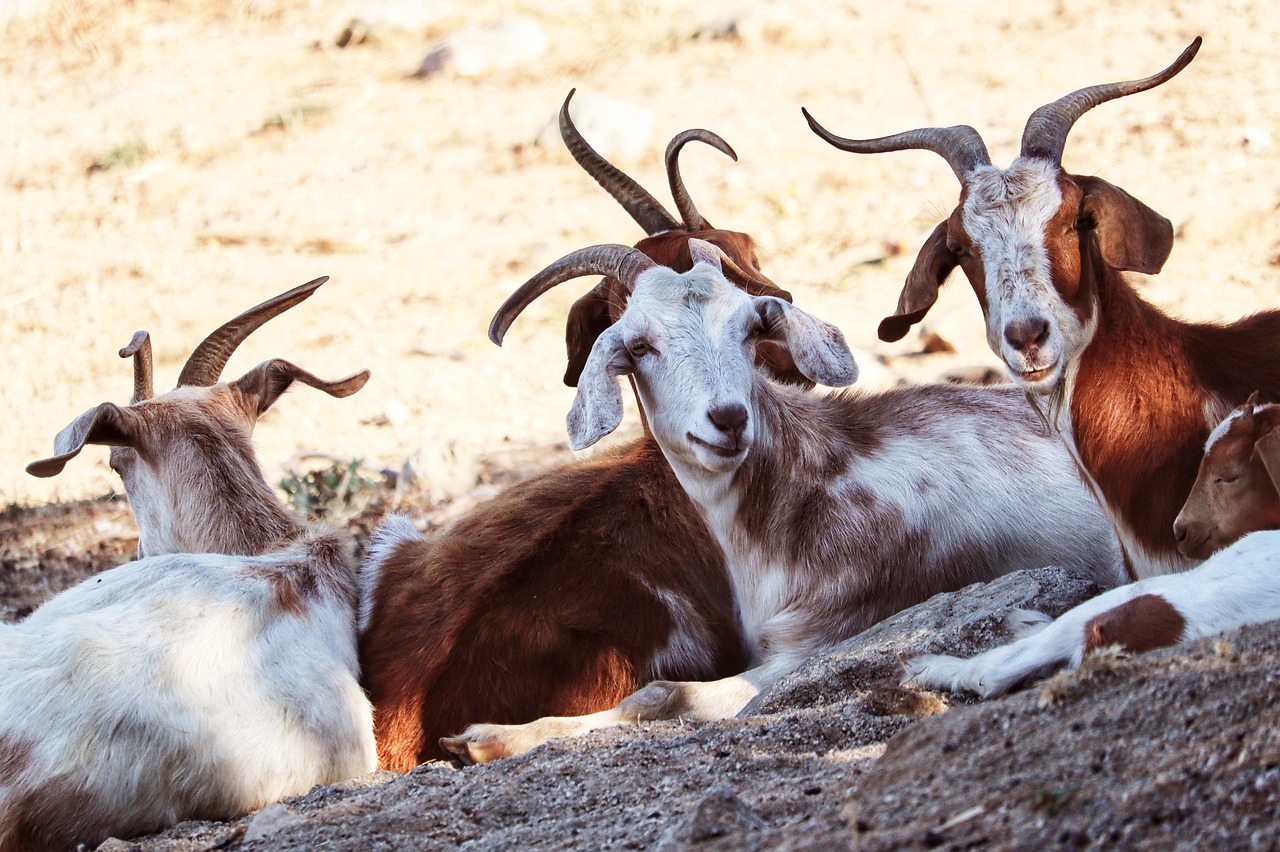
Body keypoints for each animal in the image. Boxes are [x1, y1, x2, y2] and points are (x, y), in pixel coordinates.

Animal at [437, 236, 1121, 757]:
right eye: (638, 345)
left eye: (748, 327)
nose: (728, 418)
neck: (815, 482)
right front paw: (486, 735)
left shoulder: (822, 637)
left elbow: (661, 691)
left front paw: (490, 738)